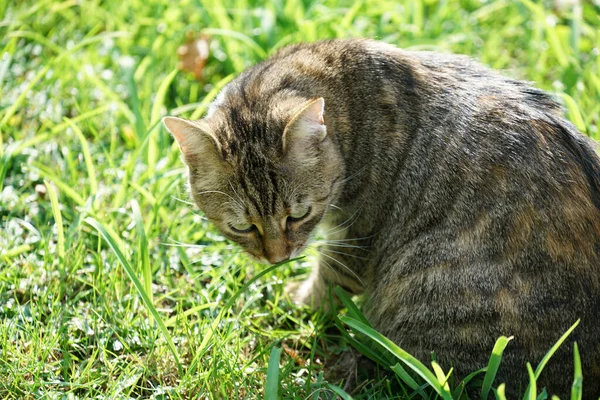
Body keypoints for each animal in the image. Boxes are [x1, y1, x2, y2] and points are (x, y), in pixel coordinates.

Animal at [162, 39, 600, 398]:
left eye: (298, 215)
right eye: (242, 226)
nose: (278, 258)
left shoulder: (356, 238)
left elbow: (325, 285)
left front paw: (292, 305)